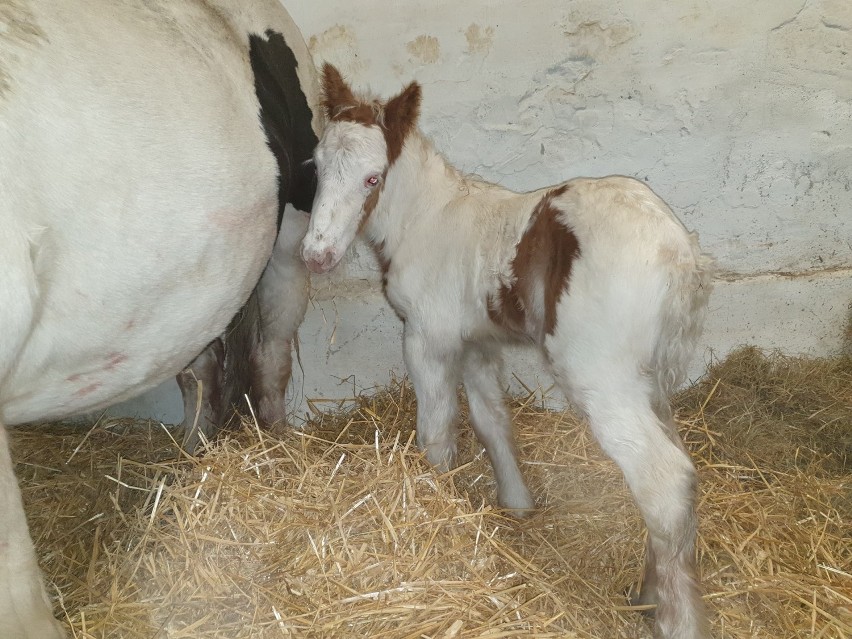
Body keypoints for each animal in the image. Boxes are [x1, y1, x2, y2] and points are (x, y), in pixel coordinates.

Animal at [302, 66, 716, 639]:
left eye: (372, 178)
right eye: (319, 166)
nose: (316, 256)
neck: (428, 220)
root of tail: (678, 253)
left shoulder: (427, 339)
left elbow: (437, 433)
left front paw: (435, 510)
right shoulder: (477, 344)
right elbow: (491, 421)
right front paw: (516, 506)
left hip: (600, 376)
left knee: (663, 478)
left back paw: (675, 620)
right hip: (649, 377)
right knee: (679, 467)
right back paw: (649, 593)